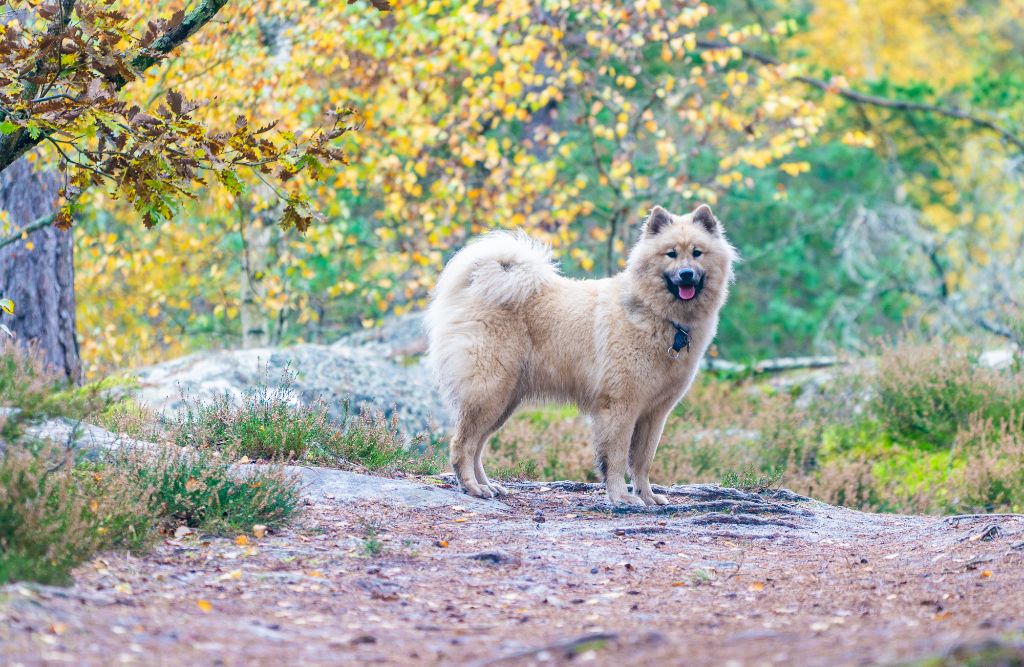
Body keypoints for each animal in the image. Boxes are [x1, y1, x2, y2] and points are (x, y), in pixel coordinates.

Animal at [423, 204, 737, 506]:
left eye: (697, 253)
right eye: (671, 253)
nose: (686, 274)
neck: (658, 316)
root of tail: (475, 287)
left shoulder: (654, 414)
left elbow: (642, 462)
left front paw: (647, 496)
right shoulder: (621, 407)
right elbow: (617, 458)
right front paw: (621, 497)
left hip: (503, 401)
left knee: (477, 446)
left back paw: (487, 486)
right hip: (489, 392)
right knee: (462, 445)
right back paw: (472, 487)